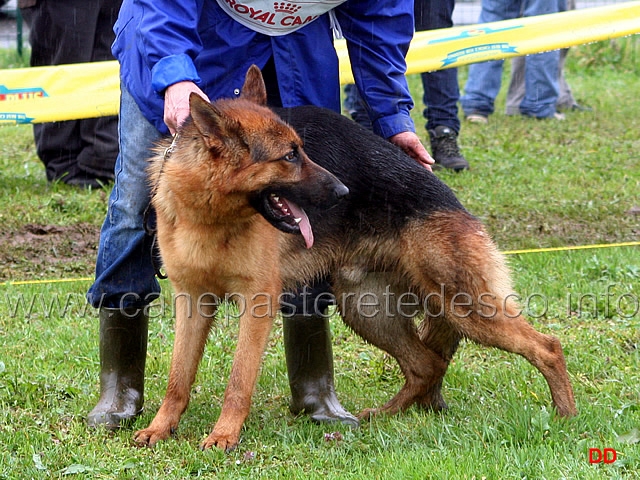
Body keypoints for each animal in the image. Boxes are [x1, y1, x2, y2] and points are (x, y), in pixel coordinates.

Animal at [134, 66, 576, 450]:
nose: (344, 191)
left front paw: (224, 436)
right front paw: (160, 428)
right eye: (289, 156)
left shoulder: (257, 305)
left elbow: (239, 380)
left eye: (302, 150)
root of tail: (452, 201)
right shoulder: (192, 303)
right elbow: (178, 377)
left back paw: (566, 417)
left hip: (466, 307)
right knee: (427, 364)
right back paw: (386, 415)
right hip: (367, 310)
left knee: (547, 347)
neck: (209, 214)